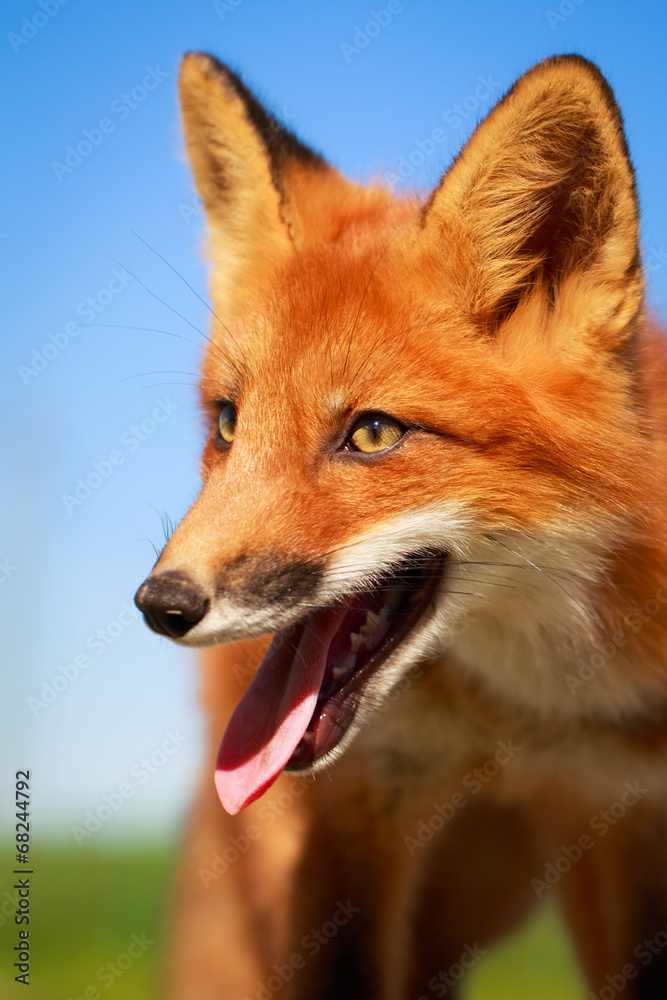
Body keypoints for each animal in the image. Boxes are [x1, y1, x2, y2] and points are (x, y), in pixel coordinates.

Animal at [134, 53, 667, 999]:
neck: (521, 717)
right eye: (229, 423)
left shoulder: (629, 810)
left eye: (373, 435)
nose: (162, 604)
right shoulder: (347, 819)